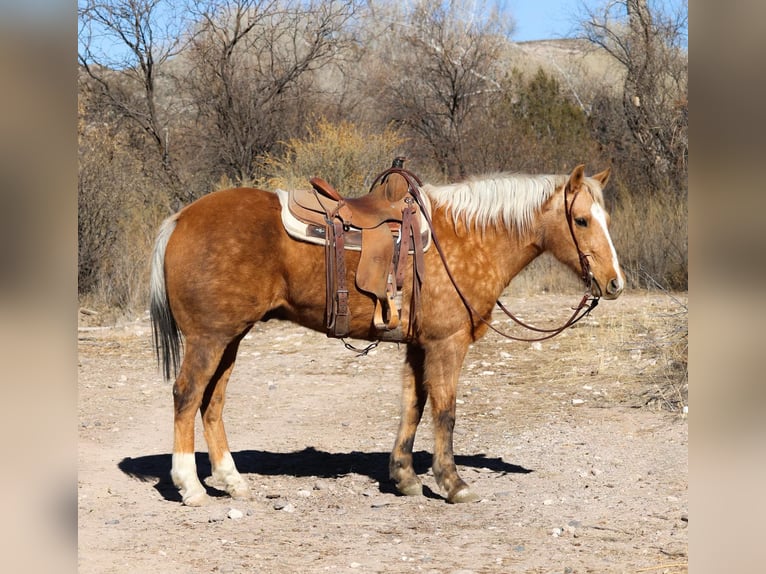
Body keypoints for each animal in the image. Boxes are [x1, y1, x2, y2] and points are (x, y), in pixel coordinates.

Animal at [150, 164, 624, 506]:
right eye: (581, 220)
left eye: (604, 218)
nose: (614, 283)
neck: (465, 238)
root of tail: (180, 218)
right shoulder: (447, 344)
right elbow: (445, 412)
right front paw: (453, 483)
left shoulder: (418, 346)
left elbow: (412, 406)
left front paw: (404, 477)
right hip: (209, 339)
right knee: (187, 396)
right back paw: (190, 486)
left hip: (230, 338)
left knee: (212, 402)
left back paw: (231, 480)